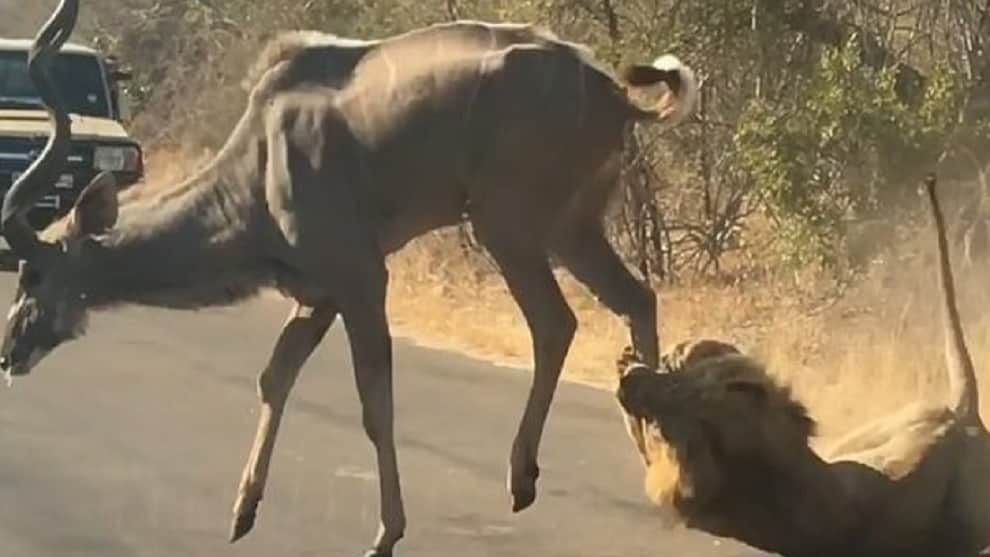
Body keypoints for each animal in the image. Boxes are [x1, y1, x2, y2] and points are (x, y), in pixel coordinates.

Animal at [0, 1, 698, 555]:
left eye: (33, 273)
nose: (10, 351)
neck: (260, 166)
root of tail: (614, 96)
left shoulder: (361, 278)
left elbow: (373, 402)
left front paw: (386, 534)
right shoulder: (318, 294)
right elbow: (274, 376)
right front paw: (242, 514)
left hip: (509, 225)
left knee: (557, 323)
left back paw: (523, 477)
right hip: (571, 229)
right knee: (637, 297)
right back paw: (655, 469)